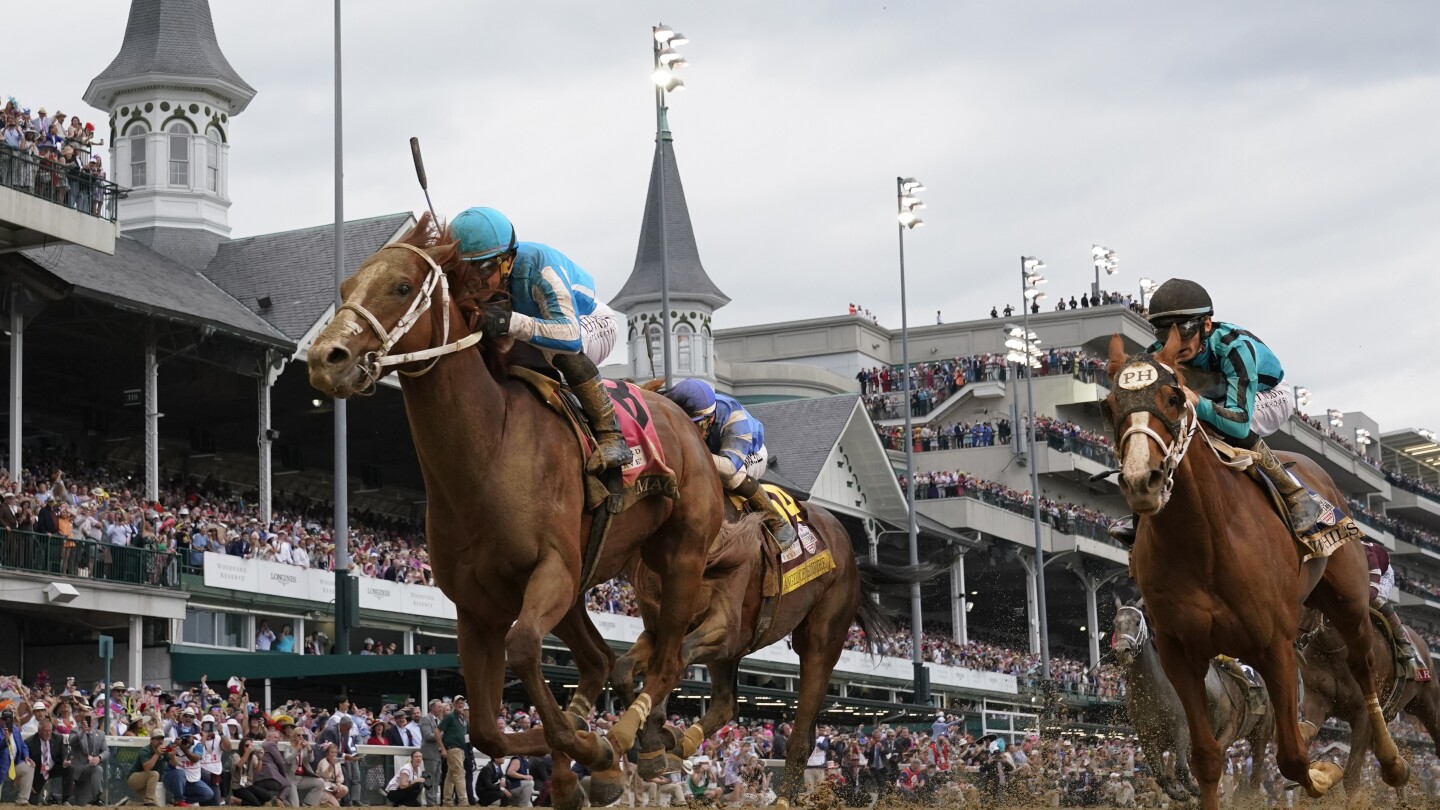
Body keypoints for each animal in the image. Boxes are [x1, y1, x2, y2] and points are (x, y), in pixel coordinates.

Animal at [308, 216, 725, 807]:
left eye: (402, 287)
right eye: (345, 287)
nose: (326, 359)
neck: (490, 452)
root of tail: (684, 416)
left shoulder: (550, 570)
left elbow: (525, 648)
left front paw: (593, 747)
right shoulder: (476, 607)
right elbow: (486, 730)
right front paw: (578, 758)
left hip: (678, 559)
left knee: (666, 658)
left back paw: (636, 740)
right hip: (584, 586)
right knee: (600, 659)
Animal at [1100, 330, 1405, 807]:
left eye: (1173, 398)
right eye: (1109, 405)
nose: (1140, 481)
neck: (1203, 543)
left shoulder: (1274, 645)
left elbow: (1294, 758)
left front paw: (1324, 774)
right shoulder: (1181, 656)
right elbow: (1205, 759)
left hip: (1349, 602)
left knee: (1363, 668)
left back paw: (1391, 763)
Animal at [1296, 605, 1440, 801]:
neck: (1333, 649)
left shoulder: (1363, 713)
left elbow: (1351, 775)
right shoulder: (1316, 700)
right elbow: (1307, 734)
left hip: (1428, 704)